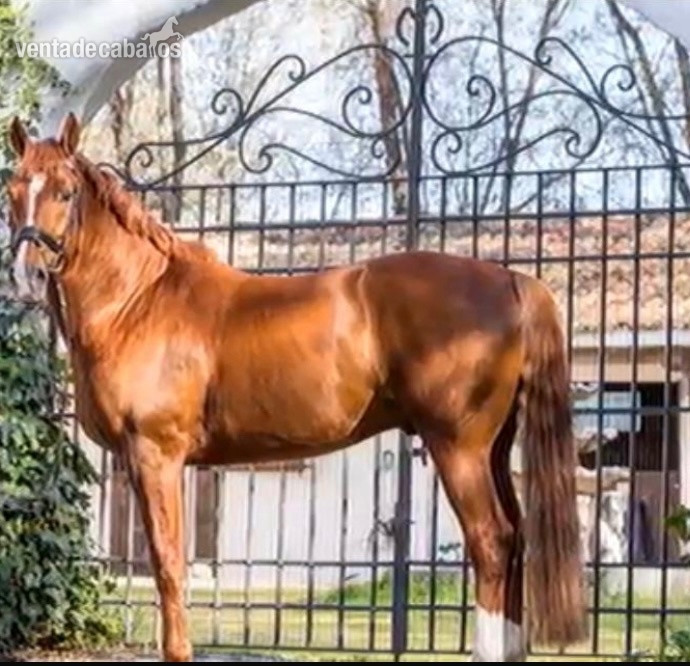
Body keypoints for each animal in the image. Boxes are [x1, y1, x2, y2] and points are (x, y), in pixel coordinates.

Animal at [4, 113, 587, 662]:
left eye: (66, 191)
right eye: (12, 191)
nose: (26, 276)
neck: (139, 301)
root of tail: (511, 279)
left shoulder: (155, 454)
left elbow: (168, 564)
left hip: (458, 448)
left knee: (493, 541)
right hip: (494, 449)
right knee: (516, 538)